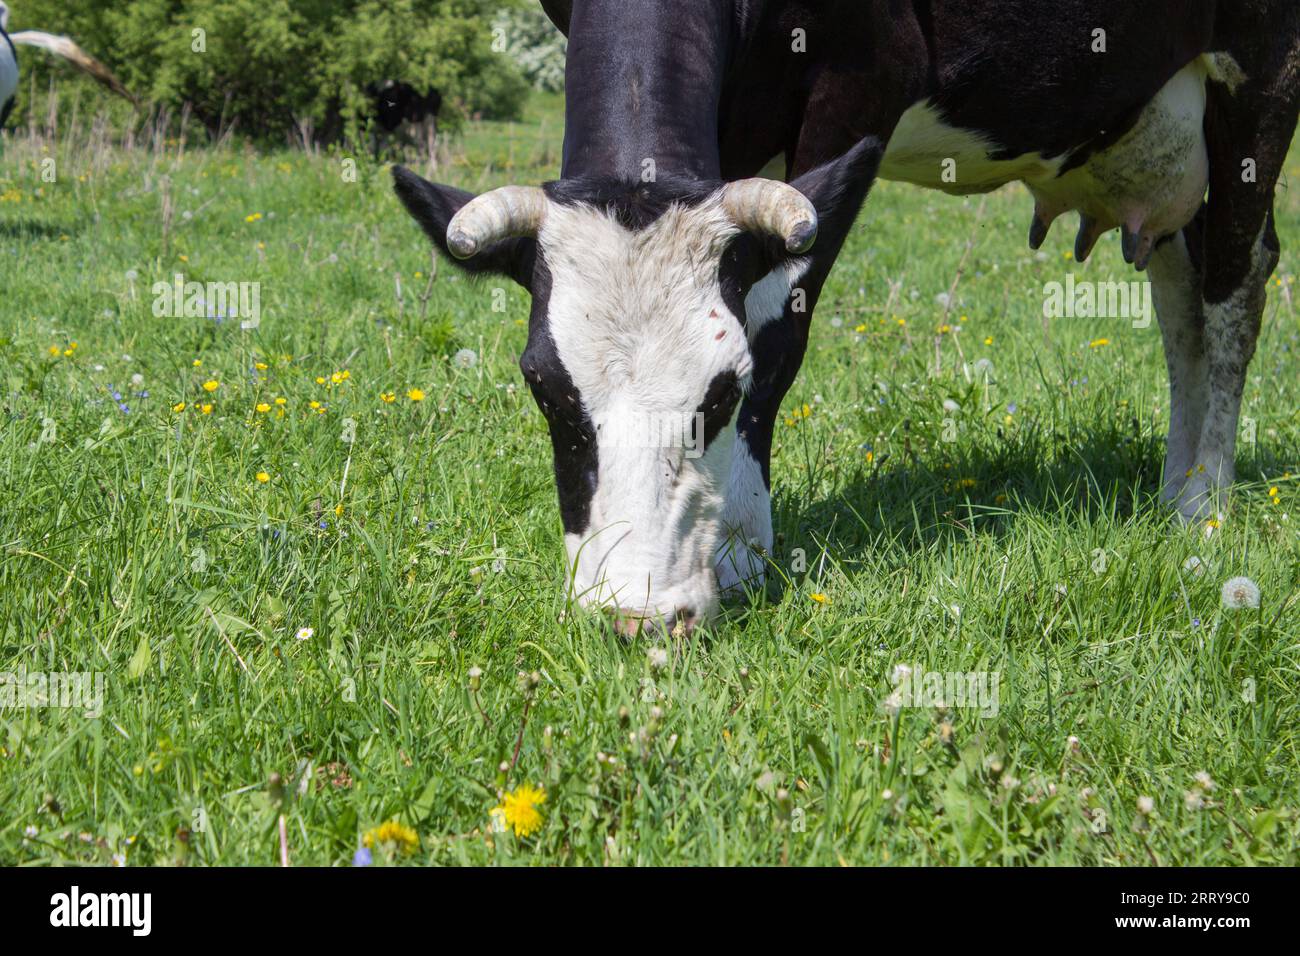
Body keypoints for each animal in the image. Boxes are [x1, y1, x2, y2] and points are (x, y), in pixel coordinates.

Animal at [392, 0, 1300, 634]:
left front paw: (741, 551)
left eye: (724, 393)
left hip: (1261, 75)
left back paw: (1204, 504)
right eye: (543, 387)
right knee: (1183, 297)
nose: (633, 614)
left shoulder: (866, 77)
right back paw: (1174, 488)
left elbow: (780, 325)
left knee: (1234, 284)